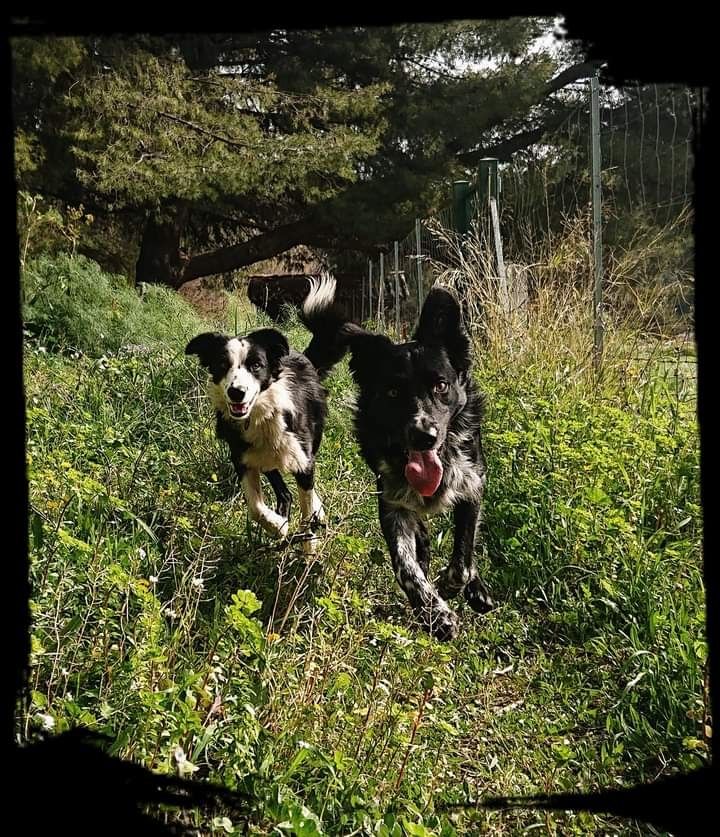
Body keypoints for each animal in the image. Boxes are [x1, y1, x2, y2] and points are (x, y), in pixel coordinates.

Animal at [184, 280, 334, 556]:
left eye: (256, 365)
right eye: (222, 365)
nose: (236, 392)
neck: (261, 415)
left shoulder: (301, 457)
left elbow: (306, 507)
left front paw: (309, 548)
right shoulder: (242, 458)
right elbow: (255, 508)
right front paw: (278, 526)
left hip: (311, 440)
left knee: (306, 484)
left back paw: (317, 511)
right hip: (266, 459)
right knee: (284, 493)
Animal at [300, 278, 492, 636]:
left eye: (441, 386)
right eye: (391, 392)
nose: (424, 436)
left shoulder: (473, 485)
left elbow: (464, 557)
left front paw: (454, 587)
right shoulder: (391, 500)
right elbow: (405, 564)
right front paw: (434, 612)